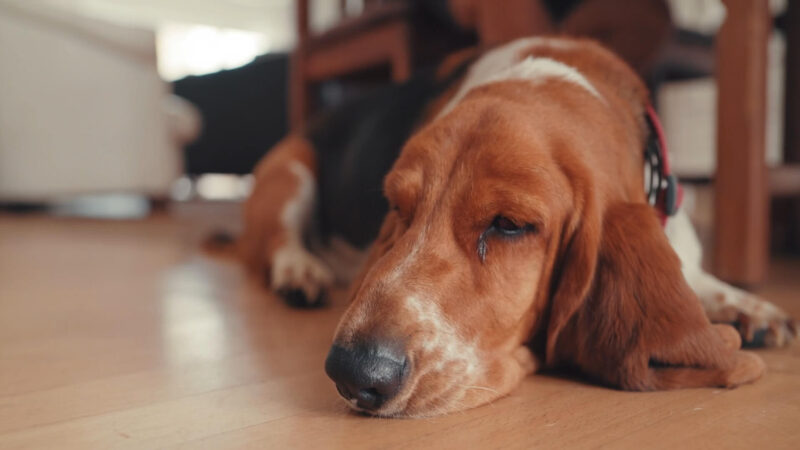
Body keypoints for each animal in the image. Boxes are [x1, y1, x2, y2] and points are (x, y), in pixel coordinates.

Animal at [228, 37, 796, 416]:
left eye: (510, 225)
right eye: (396, 206)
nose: (352, 372)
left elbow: (697, 275)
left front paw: (749, 306)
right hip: (290, 171)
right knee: (277, 243)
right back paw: (301, 272)